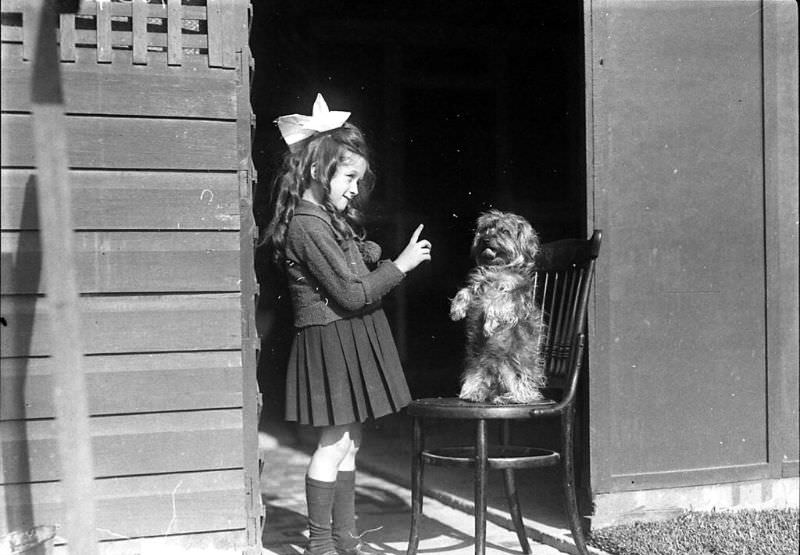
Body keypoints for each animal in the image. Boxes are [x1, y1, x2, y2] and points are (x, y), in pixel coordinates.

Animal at [450, 211, 544, 406]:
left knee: (525, 390)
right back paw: (474, 392)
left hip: (517, 368)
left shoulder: (513, 296)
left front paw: (489, 325)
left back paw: (510, 397)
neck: (498, 267)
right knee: (480, 380)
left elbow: (497, 303)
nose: (485, 239)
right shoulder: (478, 288)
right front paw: (456, 309)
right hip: (477, 363)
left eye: (504, 231)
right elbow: (465, 291)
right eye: (486, 229)